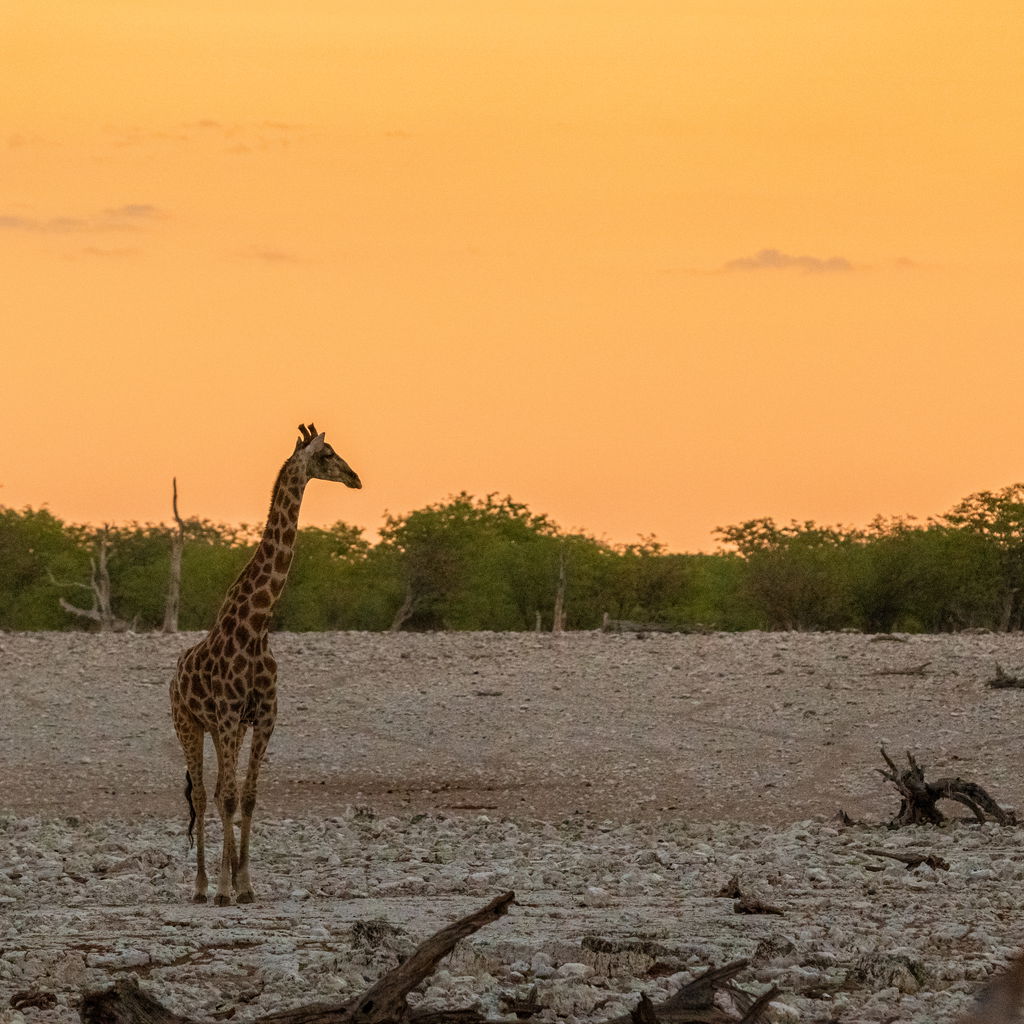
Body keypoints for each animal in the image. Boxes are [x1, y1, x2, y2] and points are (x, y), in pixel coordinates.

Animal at [169, 423, 361, 905]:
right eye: (327, 454)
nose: (355, 478)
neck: (257, 627)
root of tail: (174, 675)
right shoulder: (227, 715)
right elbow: (227, 798)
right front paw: (223, 888)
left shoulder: (263, 717)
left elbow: (249, 796)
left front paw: (246, 884)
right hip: (188, 723)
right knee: (203, 795)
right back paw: (201, 887)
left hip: (224, 729)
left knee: (221, 789)